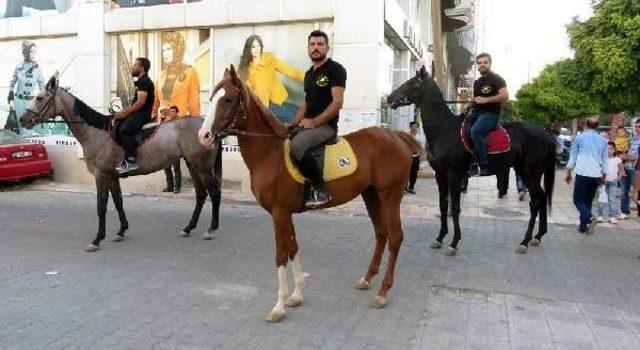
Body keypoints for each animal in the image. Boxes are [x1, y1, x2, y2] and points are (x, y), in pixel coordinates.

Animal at [21, 76, 222, 252]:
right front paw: (121, 231)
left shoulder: (101, 175)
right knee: (201, 195)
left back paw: (211, 229)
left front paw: (97, 239)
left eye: (39, 98)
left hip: (202, 167)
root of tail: (207, 129)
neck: (96, 132)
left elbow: (101, 207)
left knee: (213, 193)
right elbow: (118, 201)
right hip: (193, 165)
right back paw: (188, 228)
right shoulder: (112, 176)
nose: (23, 119)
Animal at [198, 65, 422, 322]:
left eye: (227, 99)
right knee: (381, 233)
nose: (204, 136)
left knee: (395, 237)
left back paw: (383, 293)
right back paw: (367, 279)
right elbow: (293, 248)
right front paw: (296, 295)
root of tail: (396, 136)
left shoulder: (279, 213)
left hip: (390, 197)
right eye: (211, 98)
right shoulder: (286, 213)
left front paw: (278, 306)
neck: (270, 153)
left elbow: (281, 254)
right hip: (371, 195)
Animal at [384, 66, 556, 254]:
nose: (390, 98)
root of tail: (545, 135)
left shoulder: (454, 175)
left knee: (535, 201)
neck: (444, 130)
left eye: (413, 82)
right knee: (542, 197)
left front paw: (454, 242)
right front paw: (440, 238)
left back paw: (525, 241)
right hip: (524, 172)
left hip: (531, 173)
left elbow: (455, 207)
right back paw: (538, 236)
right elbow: (443, 205)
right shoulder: (440, 174)